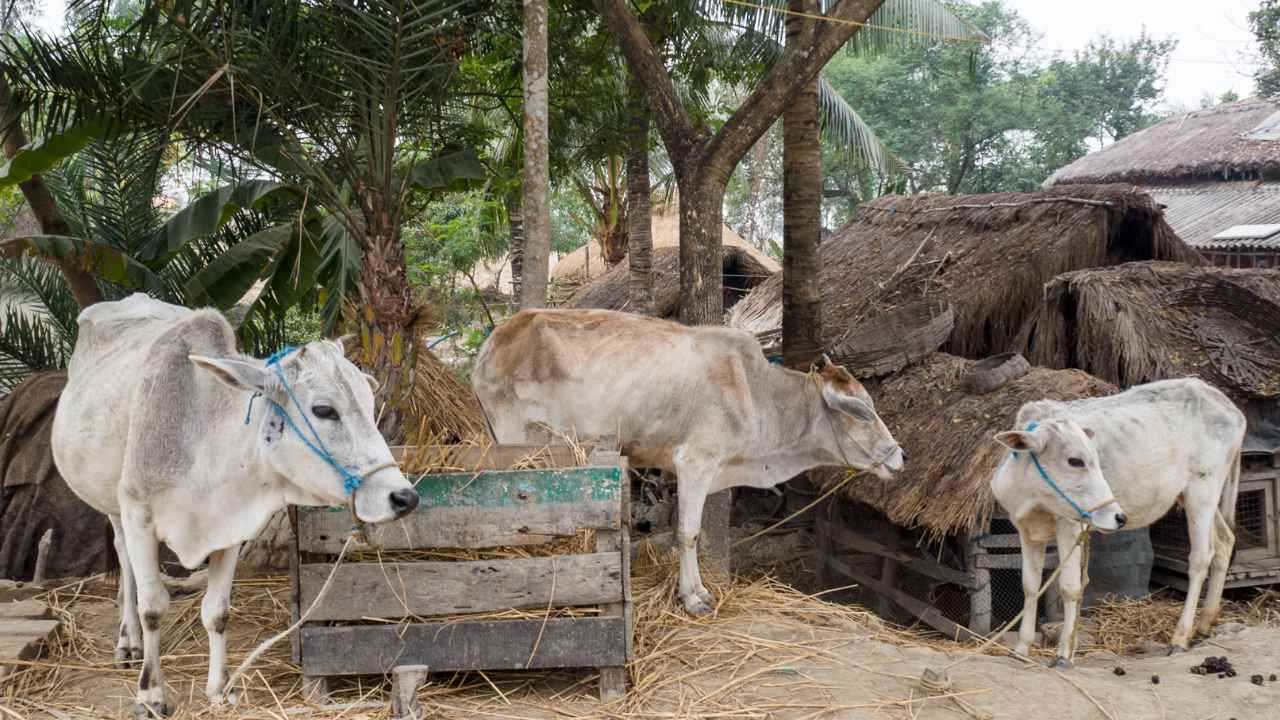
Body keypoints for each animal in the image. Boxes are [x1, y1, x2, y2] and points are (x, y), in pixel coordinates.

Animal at [50, 294, 418, 716]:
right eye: (324, 410)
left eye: (370, 404)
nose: (403, 497)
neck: (201, 440)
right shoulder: (139, 516)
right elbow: (153, 608)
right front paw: (151, 694)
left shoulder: (229, 530)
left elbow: (217, 612)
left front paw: (219, 688)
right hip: (113, 504)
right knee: (124, 558)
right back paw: (128, 641)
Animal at [472, 308, 905, 615]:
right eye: (861, 412)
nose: (900, 456)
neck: (756, 393)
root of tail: (494, 341)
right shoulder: (695, 462)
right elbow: (688, 534)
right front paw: (693, 598)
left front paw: (698, 590)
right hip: (514, 440)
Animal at [990, 378, 1245, 667]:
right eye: (1075, 460)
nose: (1119, 517)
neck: (1033, 497)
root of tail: (1228, 406)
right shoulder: (1026, 530)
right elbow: (1030, 586)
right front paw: (1021, 649)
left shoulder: (1070, 526)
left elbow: (1070, 587)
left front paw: (1064, 653)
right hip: (1198, 498)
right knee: (1224, 542)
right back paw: (1204, 623)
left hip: (1202, 491)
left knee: (1201, 558)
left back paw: (1180, 638)